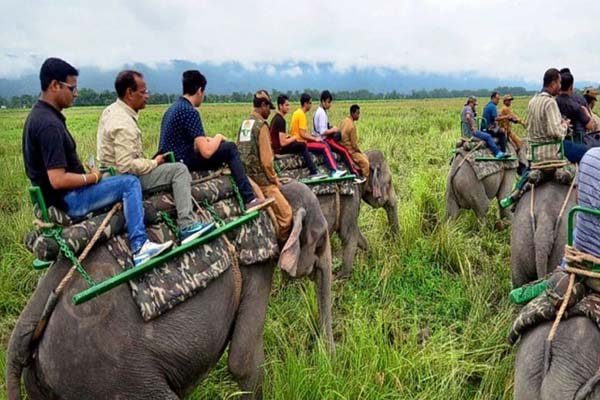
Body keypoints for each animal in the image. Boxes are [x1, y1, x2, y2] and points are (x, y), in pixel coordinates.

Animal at [5, 180, 332, 400]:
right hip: (112, 378)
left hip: (48, 382)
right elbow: (243, 362)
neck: (270, 193)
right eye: (320, 239)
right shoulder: (258, 262)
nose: (327, 357)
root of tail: (26, 323)